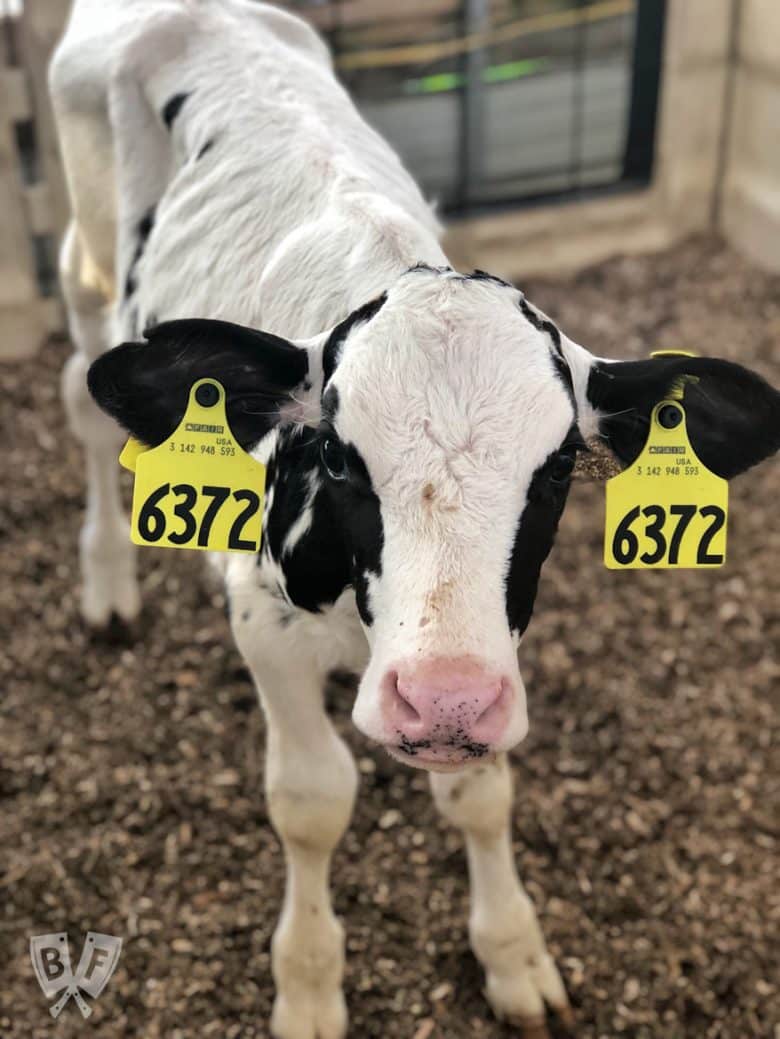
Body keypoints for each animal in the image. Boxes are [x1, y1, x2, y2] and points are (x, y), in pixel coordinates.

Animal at [50, 4, 780, 1034]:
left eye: (560, 469)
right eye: (335, 456)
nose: (442, 702)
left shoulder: (492, 648)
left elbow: (481, 789)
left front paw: (512, 949)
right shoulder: (264, 622)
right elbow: (312, 798)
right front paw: (308, 981)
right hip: (84, 267)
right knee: (80, 401)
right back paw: (107, 582)